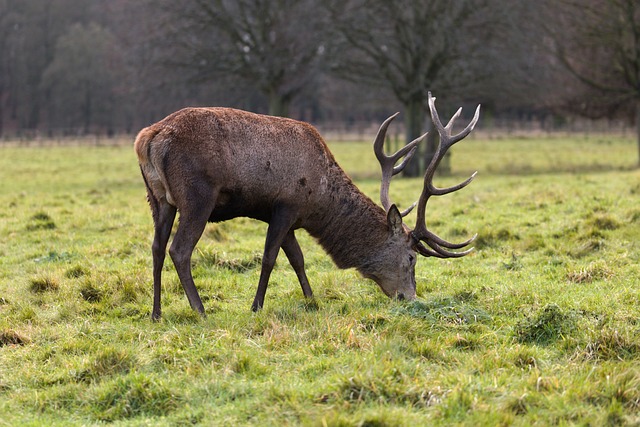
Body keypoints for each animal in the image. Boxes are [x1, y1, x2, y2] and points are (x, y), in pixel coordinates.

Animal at [134, 93, 476, 320]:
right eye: (411, 257)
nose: (409, 297)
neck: (319, 202)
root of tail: (148, 138)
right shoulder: (284, 206)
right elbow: (270, 258)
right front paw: (256, 307)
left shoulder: (291, 218)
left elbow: (298, 259)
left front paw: (312, 300)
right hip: (197, 196)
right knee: (179, 250)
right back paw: (200, 310)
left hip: (158, 198)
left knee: (156, 247)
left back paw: (156, 313)